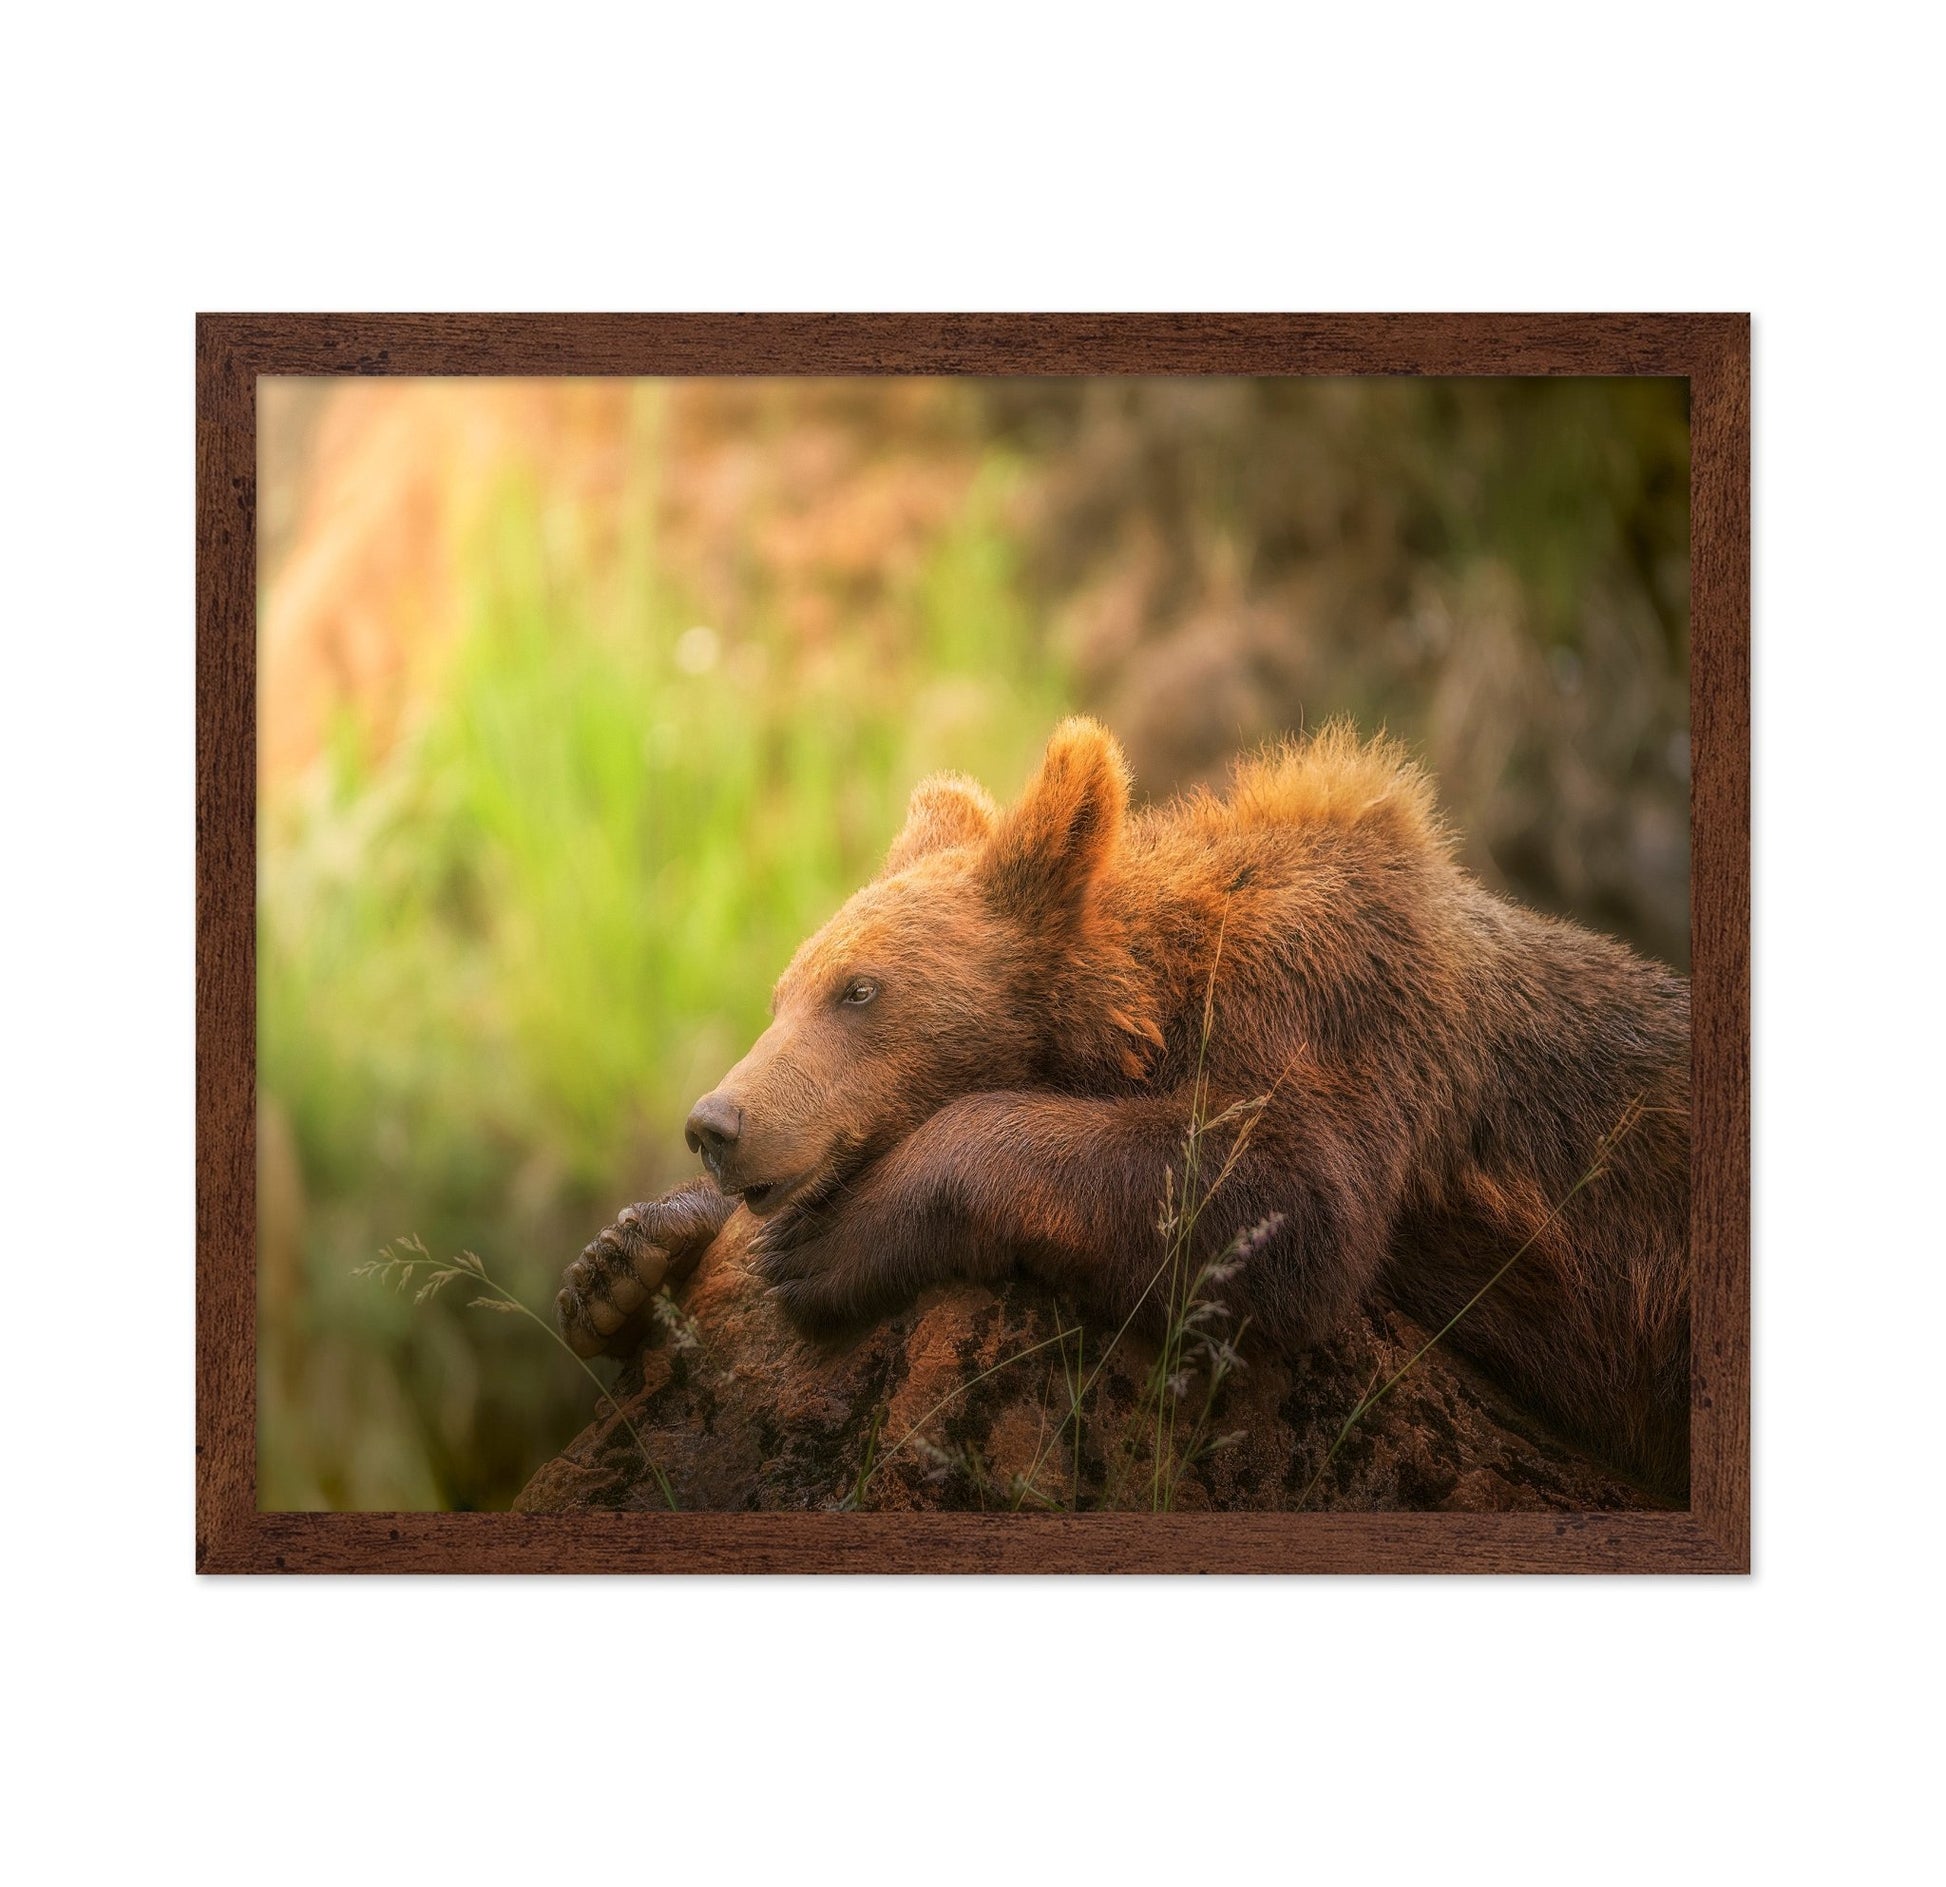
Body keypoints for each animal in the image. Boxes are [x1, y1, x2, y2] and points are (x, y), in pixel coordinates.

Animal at [557, 717, 1692, 1498]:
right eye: (780, 993)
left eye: (860, 990)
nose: (717, 1123)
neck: (1159, 994)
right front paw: (620, 1264)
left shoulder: (1340, 1006)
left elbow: (1280, 1195)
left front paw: (829, 1243)